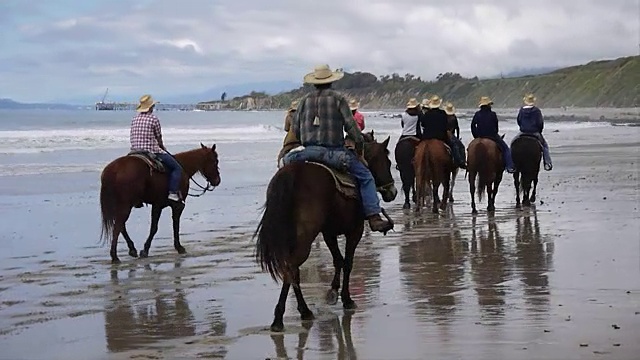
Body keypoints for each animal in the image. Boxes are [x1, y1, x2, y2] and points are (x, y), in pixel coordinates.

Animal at [254, 134, 396, 332]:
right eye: (388, 162)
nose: (392, 191)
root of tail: (292, 174)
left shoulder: (329, 233)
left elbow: (338, 260)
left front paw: (333, 292)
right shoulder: (355, 230)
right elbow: (348, 263)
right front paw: (346, 299)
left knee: (292, 269)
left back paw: (303, 311)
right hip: (305, 237)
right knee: (291, 267)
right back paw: (281, 318)